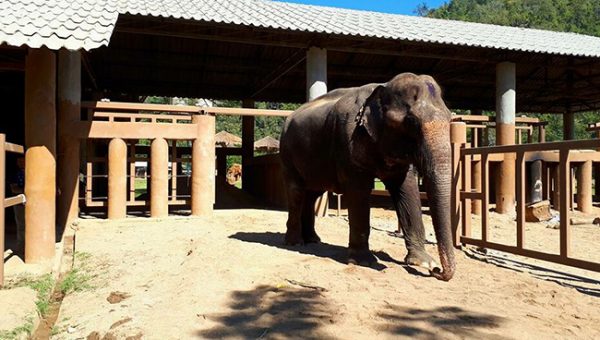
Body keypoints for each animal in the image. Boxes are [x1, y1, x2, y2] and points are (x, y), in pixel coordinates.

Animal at [280, 73, 454, 280]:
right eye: (411, 122)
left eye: (450, 118)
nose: (437, 272)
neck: (383, 87)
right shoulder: (349, 138)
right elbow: (358, 191)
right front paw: (365, 262)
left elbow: (407, 189)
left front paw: (422, 262)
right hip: (287, 153)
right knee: (297, 192)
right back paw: (295, 242)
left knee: (312, 193)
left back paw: (313, 240)